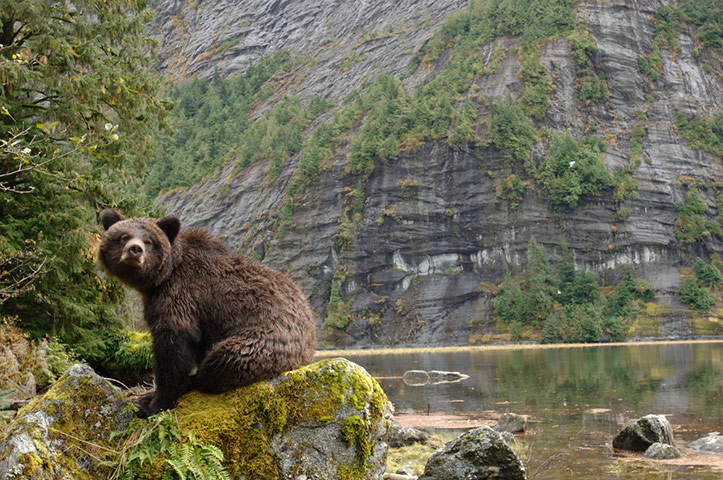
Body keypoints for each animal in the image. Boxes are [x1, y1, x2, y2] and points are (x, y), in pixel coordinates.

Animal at [96, 208, 316, 418]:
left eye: (149, 241)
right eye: (124, 236)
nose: (135, 250)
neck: (161, 279)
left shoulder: (181, 297)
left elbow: (174, 348)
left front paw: (154, 404)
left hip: (264, 339)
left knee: (224, 358)